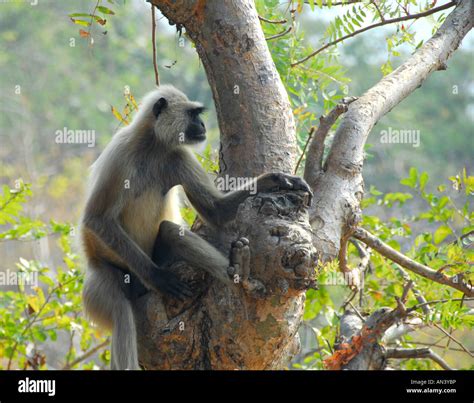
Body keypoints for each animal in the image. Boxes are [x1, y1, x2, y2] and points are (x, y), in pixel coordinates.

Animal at [80, 87, 312, 370]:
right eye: (193, 115)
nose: (202, 125)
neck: (153, 145)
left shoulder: (178, 155)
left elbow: (216, 210)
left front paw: (277, 179)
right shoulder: (120, 154)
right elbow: (96, 219)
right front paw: (158, 277)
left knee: (171, 232)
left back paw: (240, 271)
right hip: (102, 277)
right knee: (121, 312)